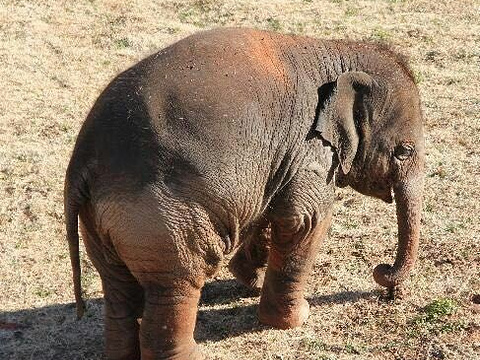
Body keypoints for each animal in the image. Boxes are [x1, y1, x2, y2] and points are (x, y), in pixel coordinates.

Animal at [64, 28, 424, 360]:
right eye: (404, 152)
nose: (386, 282)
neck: (337, 50)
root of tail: (83, 159)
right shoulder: (309, 149)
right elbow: (305, 221)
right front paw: (297, 316)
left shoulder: (277, 160)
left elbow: (267, 211)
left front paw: (252, 280)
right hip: (162, 218)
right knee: (177, 284)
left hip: (100, 222)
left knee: (118, 289)